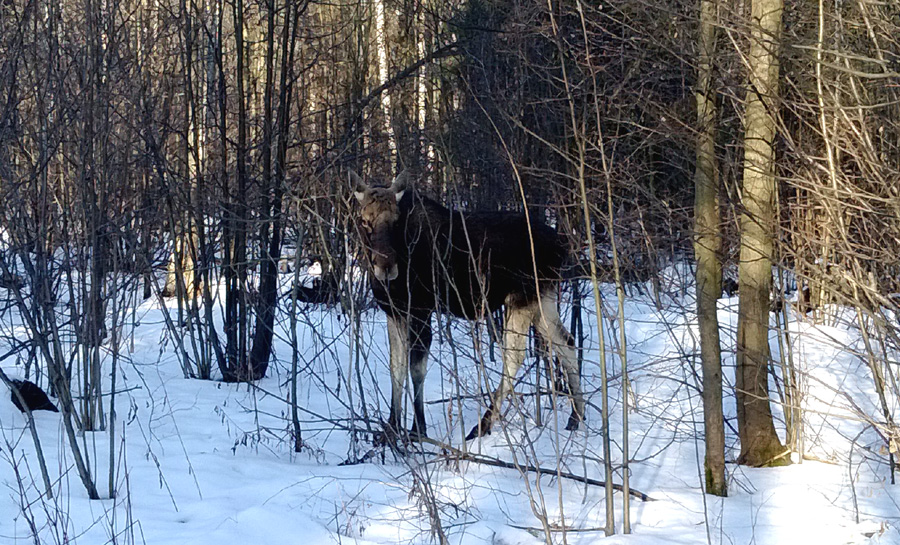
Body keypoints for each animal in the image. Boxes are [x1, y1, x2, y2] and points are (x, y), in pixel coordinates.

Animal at [352, 170, 584, 442]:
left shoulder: (421, 309)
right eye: (364, 221)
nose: (386, 267)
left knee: (515, 357)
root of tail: (561, 246)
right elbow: (395, 367)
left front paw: (417, 429)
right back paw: (576, 416)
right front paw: (390, 429)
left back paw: (482, 425)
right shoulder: (394, 312)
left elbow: (416, 369)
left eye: (396, 221)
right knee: (566, 342)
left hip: (521, 298)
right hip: (543, 299)